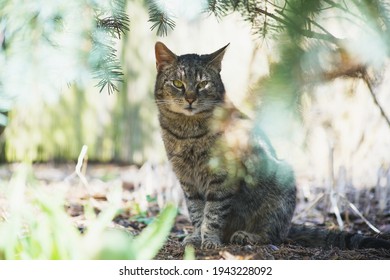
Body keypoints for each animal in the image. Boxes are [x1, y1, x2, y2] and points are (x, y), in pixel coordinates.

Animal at [152, 41, 390, 249]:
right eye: (178, 84)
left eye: (203, 84)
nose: (190, 98)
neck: (187, 133)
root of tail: (289, 226)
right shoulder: (187, 181)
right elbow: (196, 211)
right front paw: (196, 236)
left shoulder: (222, 176)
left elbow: (213, 212)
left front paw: (209, 239)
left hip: (281, 189)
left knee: (274, 235)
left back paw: (248, 236)